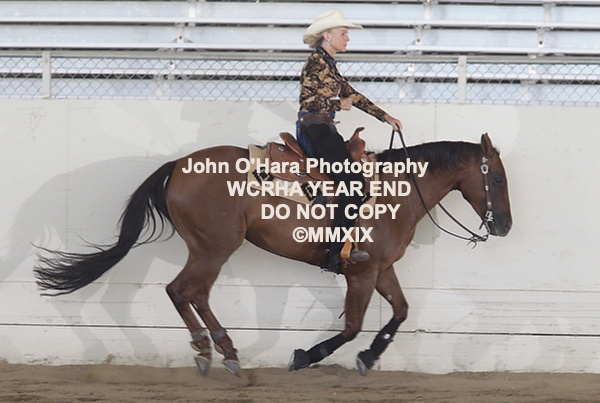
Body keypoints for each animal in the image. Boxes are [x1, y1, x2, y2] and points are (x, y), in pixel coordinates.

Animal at [34, 129, 512, 377]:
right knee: (182, 290)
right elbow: (353, 326)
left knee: (191, 293)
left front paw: (369, 357)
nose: (504, 226)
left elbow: (400, 312)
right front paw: (306, 356)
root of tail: (178, 166)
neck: (396, 193)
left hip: (210, 249)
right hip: (215, 248)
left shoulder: (381, 268)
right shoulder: (361, 272)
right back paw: (212, 351)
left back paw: (222, 350)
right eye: (498, 179)